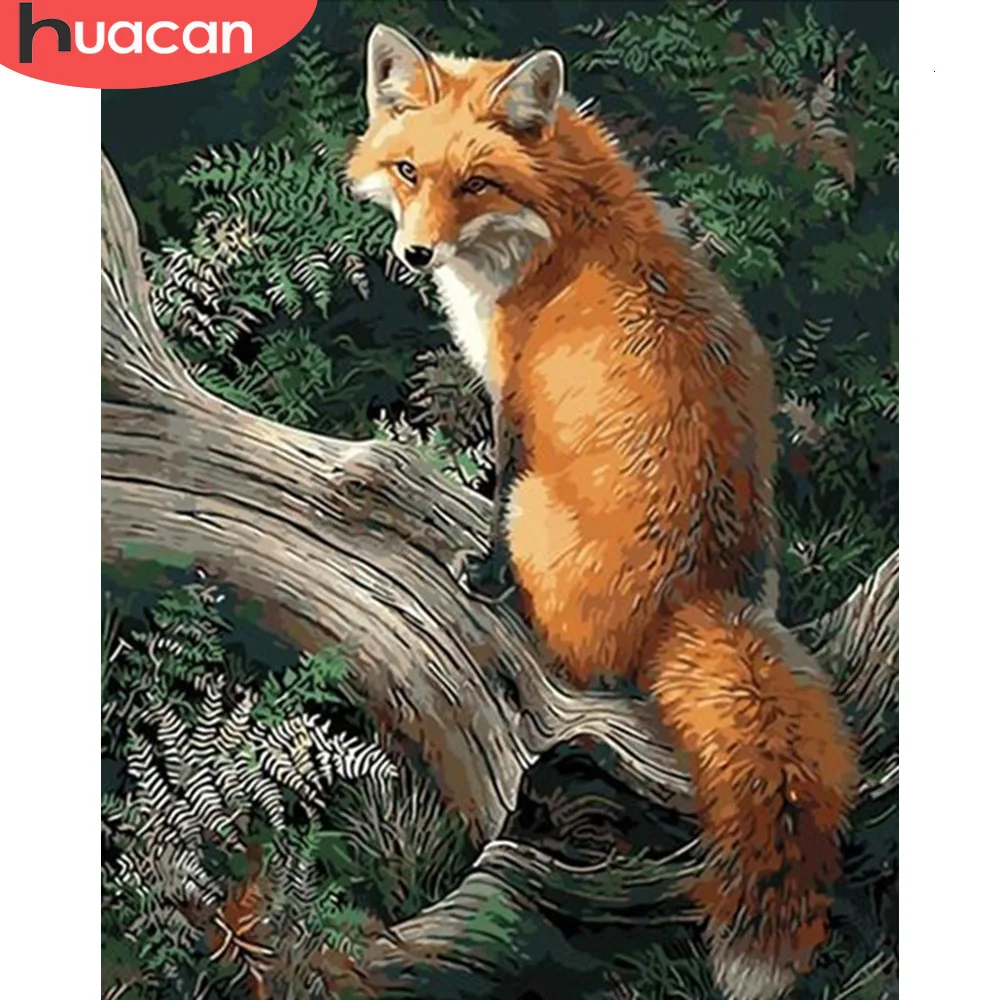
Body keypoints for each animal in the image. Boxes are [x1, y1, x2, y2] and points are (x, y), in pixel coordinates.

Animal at [346, 24, 858, 1000]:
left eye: (476, 182)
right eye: (408, 170)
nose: (416, 256)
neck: (564, 222)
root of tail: (699, 598)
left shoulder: (513, 397)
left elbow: (493, 490)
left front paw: (482, 574)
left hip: (542, 515)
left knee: (573, 655)